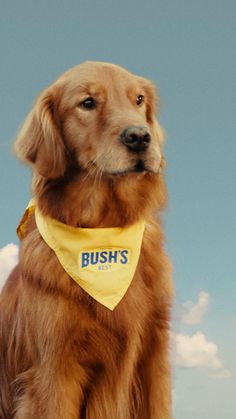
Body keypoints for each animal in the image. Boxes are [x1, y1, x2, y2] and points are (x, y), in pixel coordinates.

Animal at [0, 60, 173, 418]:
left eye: (138, 99)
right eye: (88, 103)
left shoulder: (154, 354)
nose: (140, 137)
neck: (103, 232)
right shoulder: (56, 368)